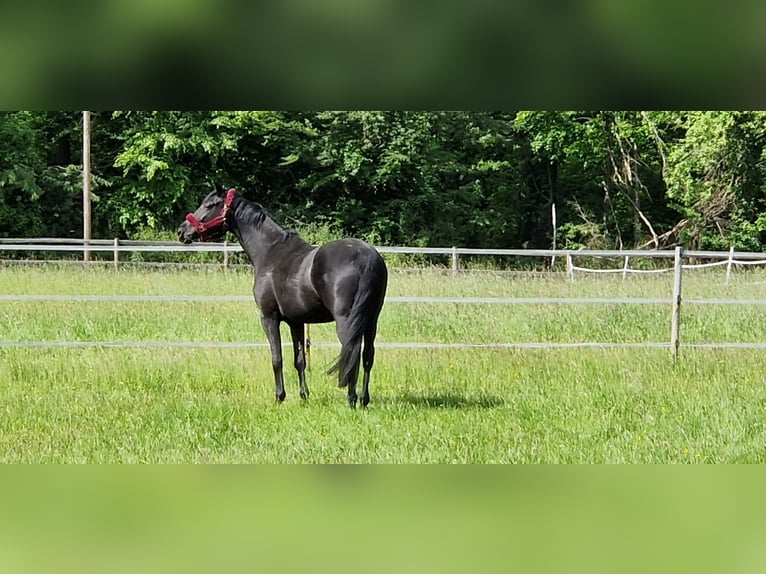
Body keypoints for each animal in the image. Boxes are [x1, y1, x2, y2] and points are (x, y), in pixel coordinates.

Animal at [177, 186, 388, 410]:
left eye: (209, 205)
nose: (182, 231)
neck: (270, 251)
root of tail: (365, 257)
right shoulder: (297, 322)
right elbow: (299, 360)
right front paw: (304, 395)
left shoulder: (269, 318)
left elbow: (276, 358)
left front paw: (279, 396)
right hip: (371, 320)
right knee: (367, 356)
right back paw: (364, 400)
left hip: (346, 321)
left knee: (352, 353)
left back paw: (351, 399)